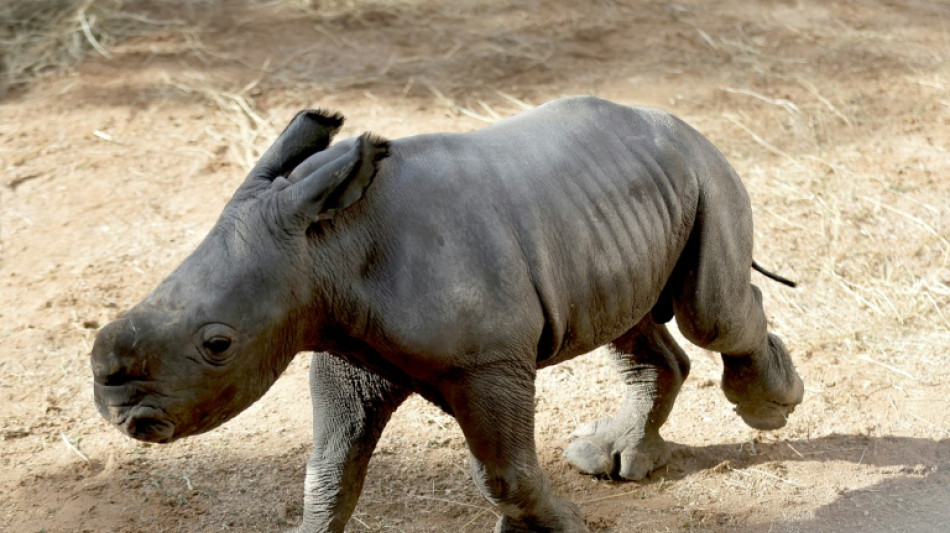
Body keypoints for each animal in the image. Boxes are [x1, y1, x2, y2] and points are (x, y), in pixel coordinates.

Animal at [91, 96, 803, 533]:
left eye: (217, 344)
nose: (117, 407)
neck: (327, 248)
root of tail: (684, 125)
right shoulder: (345, 350)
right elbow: (330, 467)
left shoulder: (488, 362)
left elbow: (503, 471)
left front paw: (560, 527)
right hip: (617, 203)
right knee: (630, 325)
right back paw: (613, 460)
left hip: (706, 174)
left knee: (710, 315)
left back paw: (772, 407)